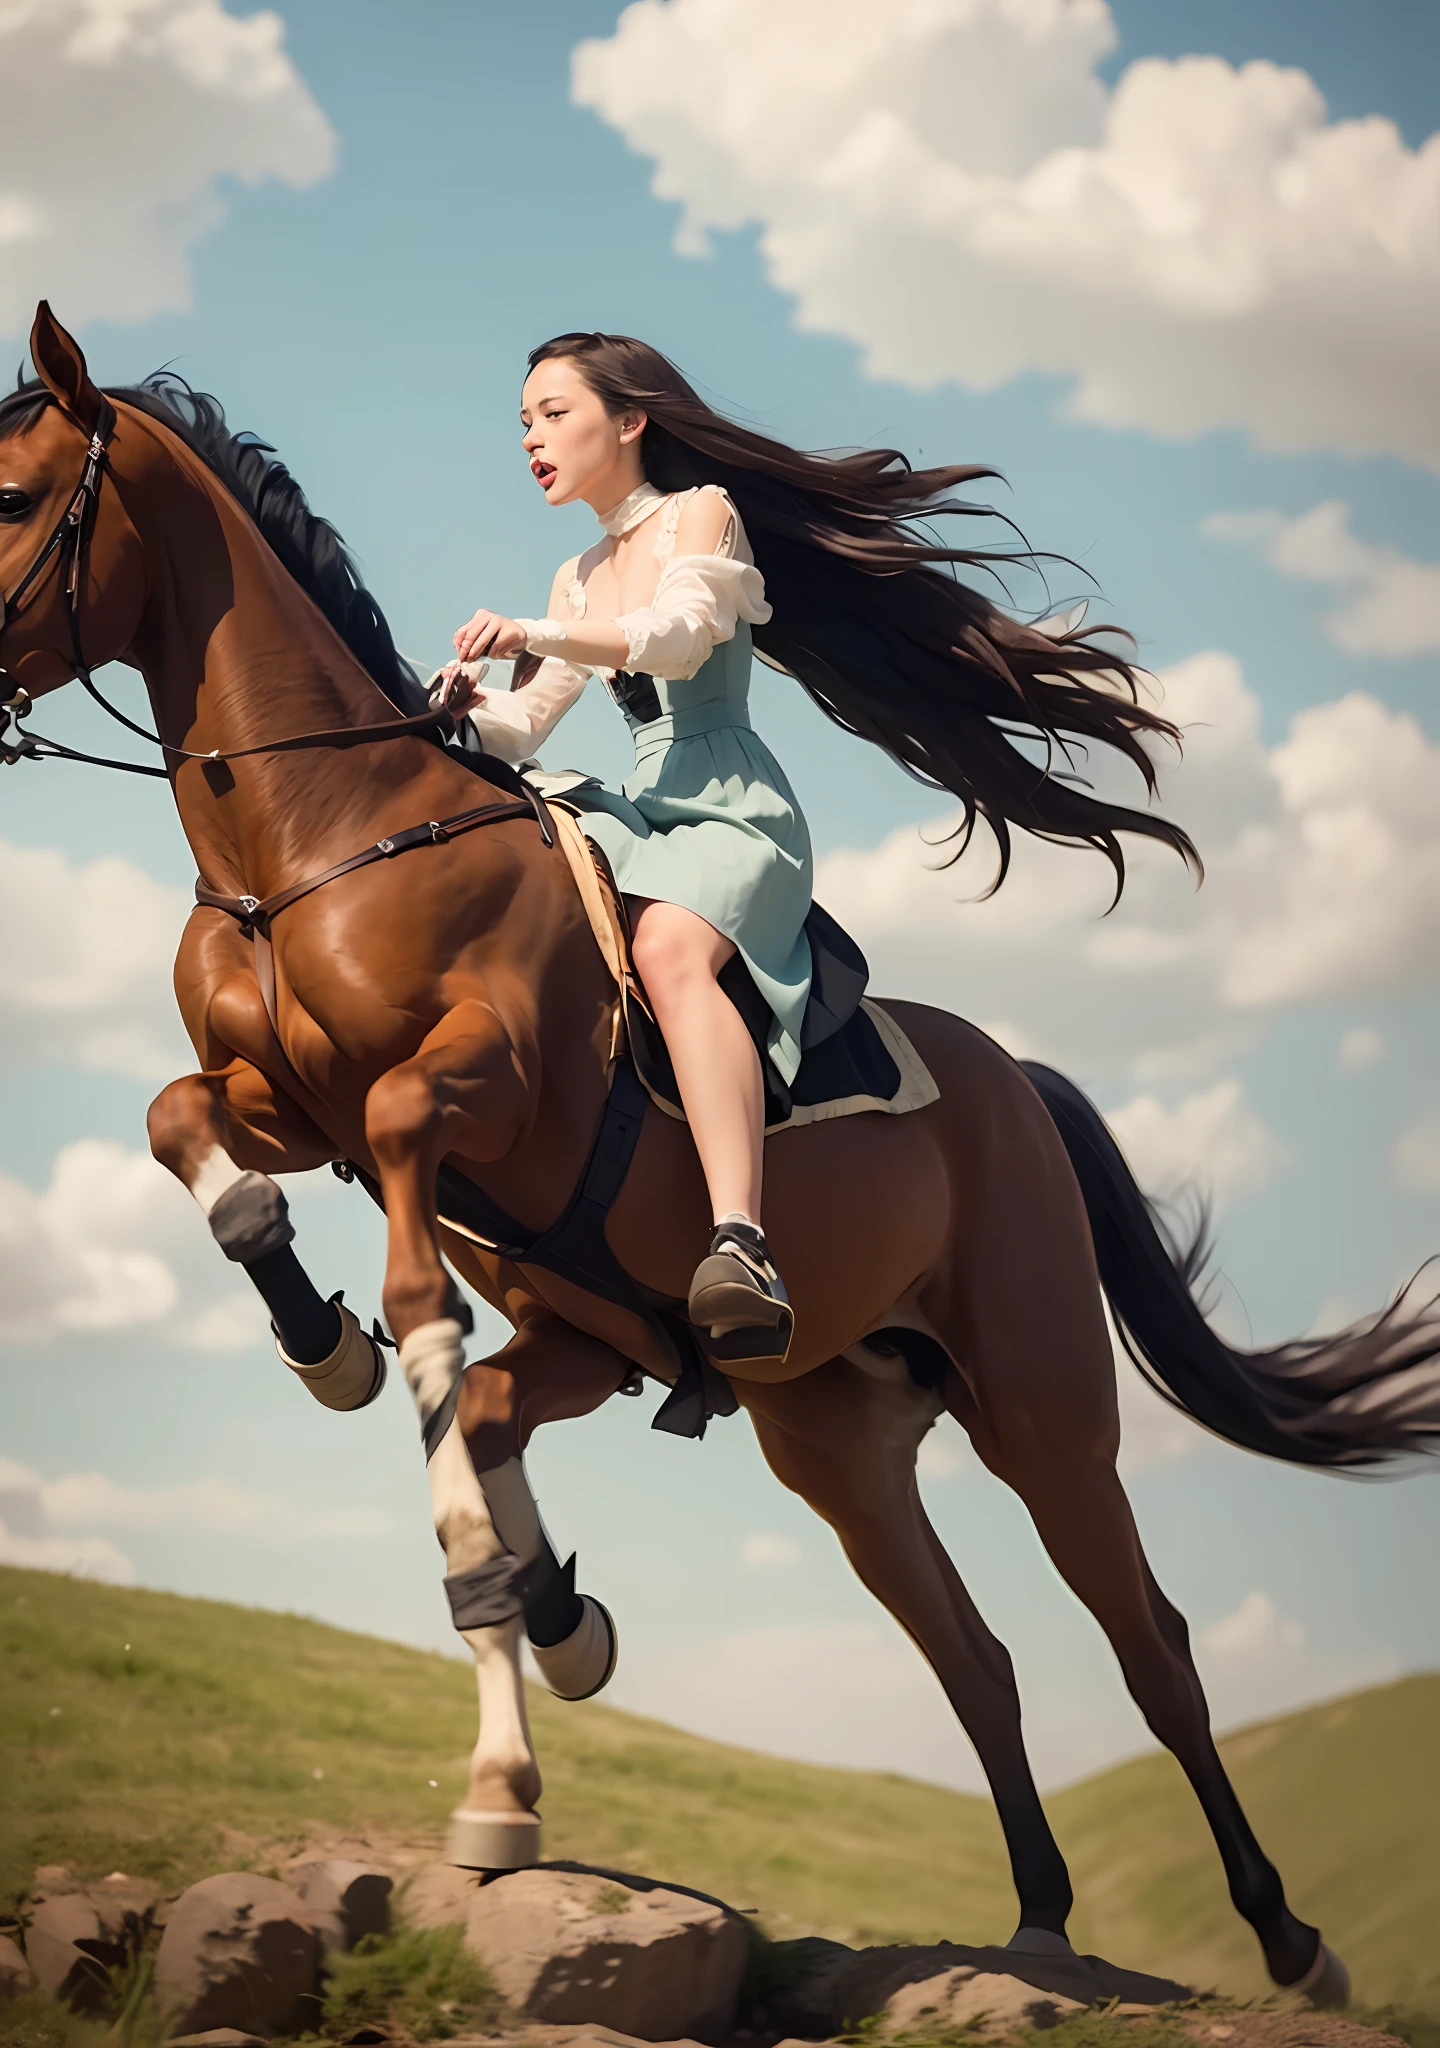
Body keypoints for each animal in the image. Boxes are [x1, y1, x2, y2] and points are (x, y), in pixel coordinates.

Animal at [5, 303, 1433, 1998]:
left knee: (1151, 1648)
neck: (318, 840)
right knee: (970, 1656)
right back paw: (1031, 1919)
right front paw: (333, 1359)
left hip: (1044, 1410)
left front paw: (499, 1744)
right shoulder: (288, 1105)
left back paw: (1290, 1940)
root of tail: (1019, 1082)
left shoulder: (465, 1094)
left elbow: (424, 1291)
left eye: (13, 497)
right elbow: (190, 1132)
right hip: (826, 1438)